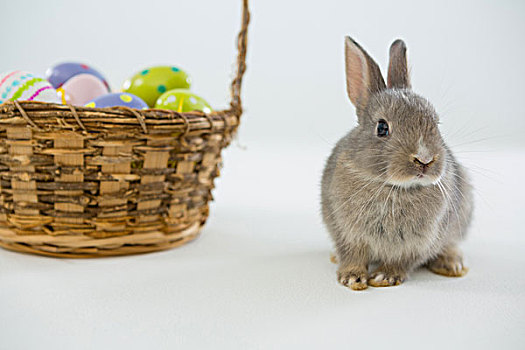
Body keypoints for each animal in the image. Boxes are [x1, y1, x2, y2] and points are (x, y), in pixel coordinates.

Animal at [322, 38, 472, 290]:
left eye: (436, 124)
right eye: (382, 128)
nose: (424, 160)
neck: (393, 187)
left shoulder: (420, 242)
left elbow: (402, 261)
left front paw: (385, 277)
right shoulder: (345, 231)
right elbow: (352, 255)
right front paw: (352, 278)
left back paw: (451, 265)